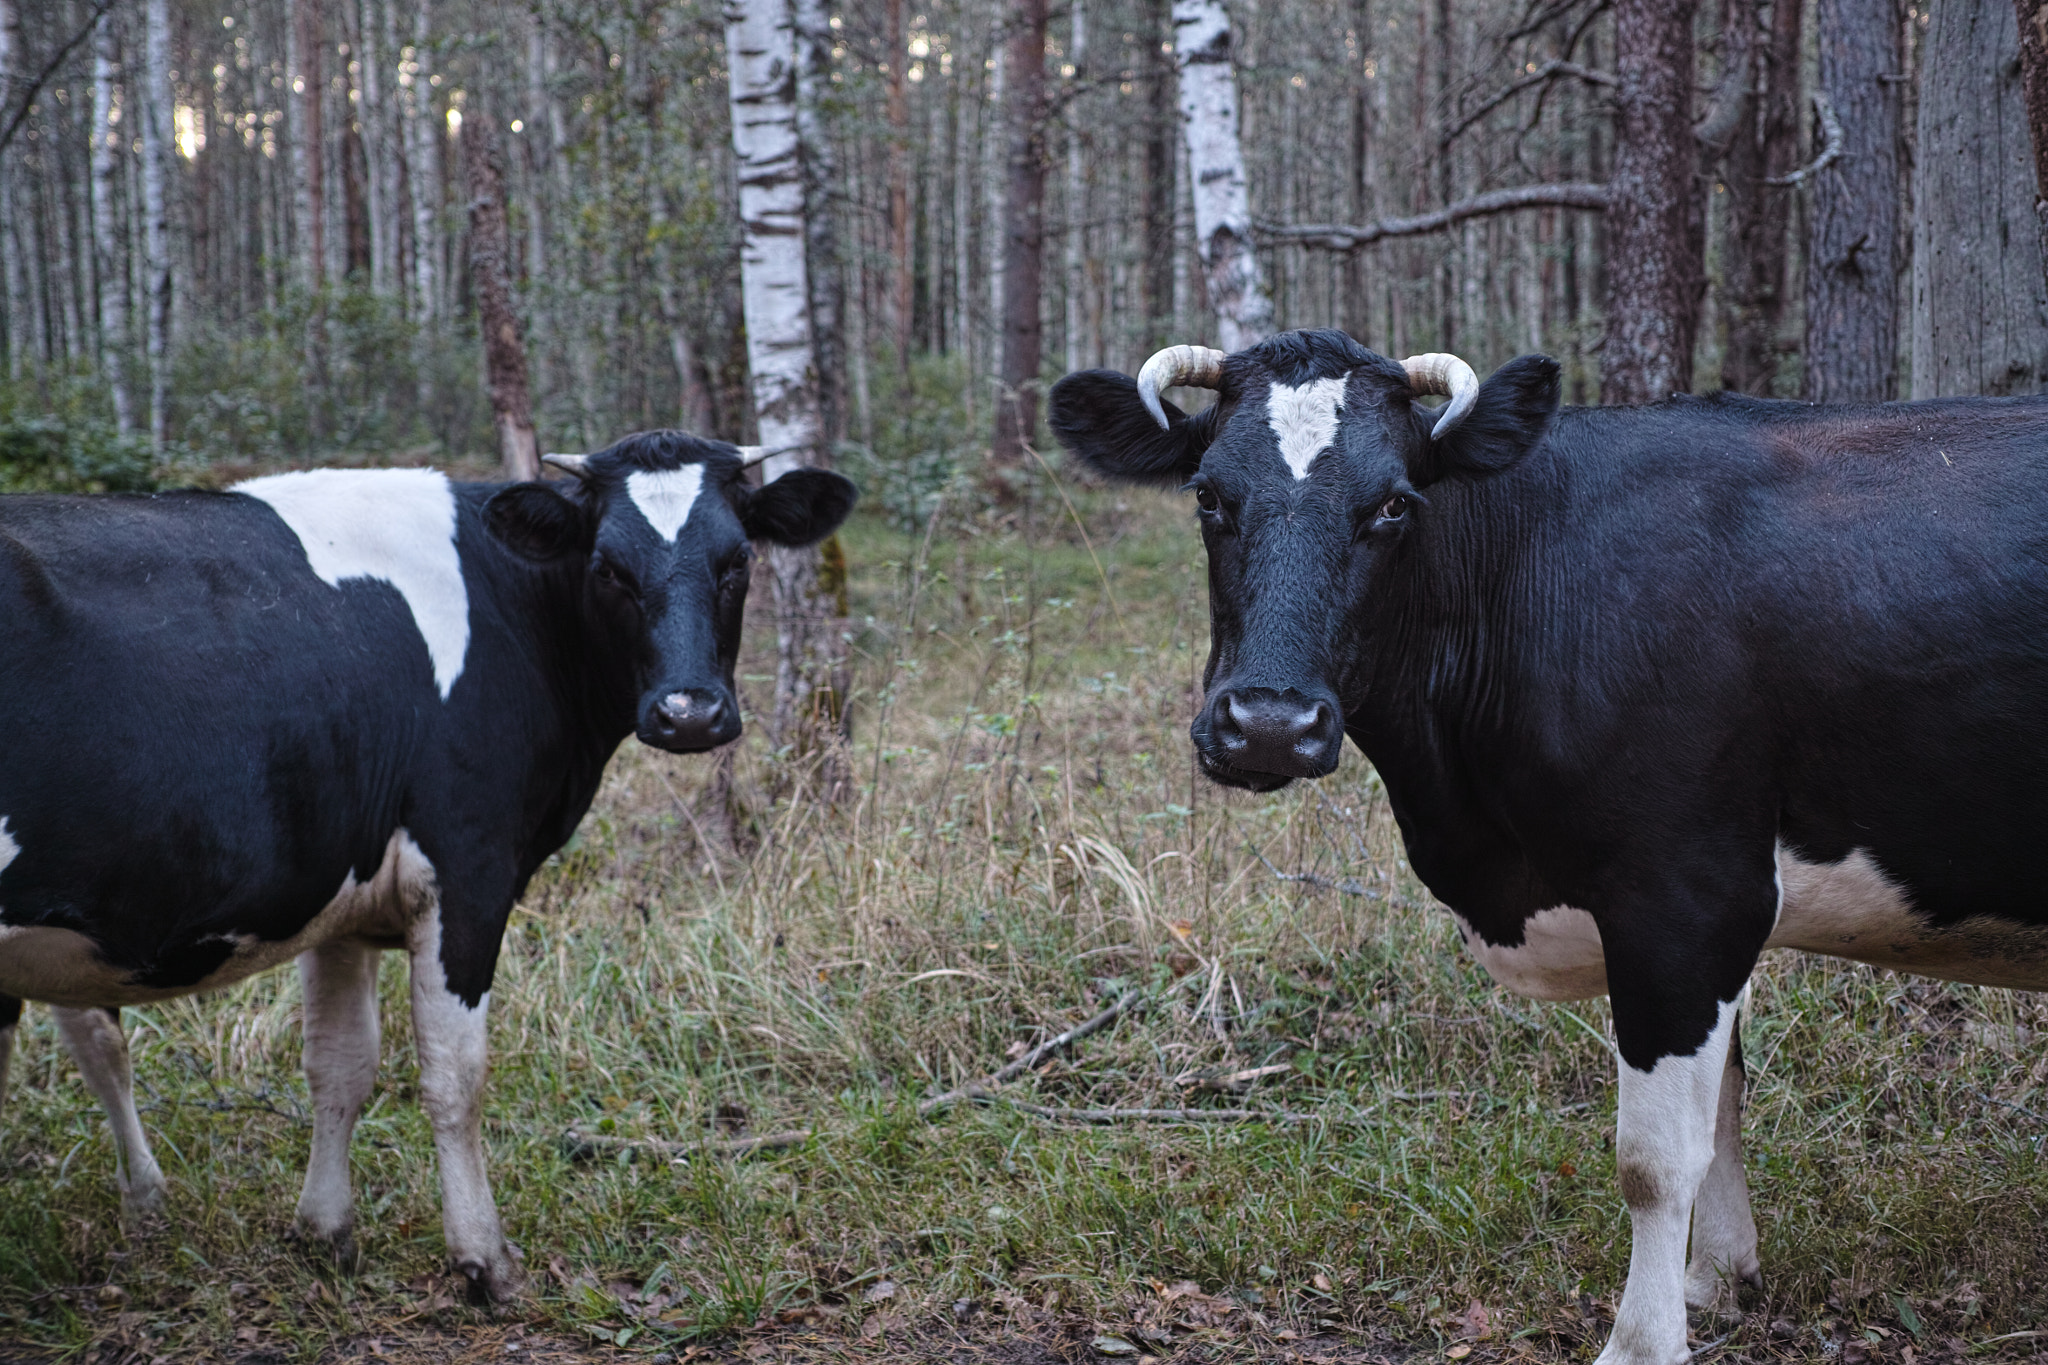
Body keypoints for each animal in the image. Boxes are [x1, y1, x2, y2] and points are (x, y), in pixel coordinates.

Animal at [0, 432, 854, 1300]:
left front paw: (325, 1231)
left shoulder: (344, 890)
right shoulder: (467, 868)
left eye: (737, 559)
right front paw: (484, 1259)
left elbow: (339, 1065)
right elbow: (454, 1076)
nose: (690, 713)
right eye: (608, 566)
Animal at [1048, 328, 2048, 1365]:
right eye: (1208, 495)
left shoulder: (1686, 893)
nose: (1270, 725)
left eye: (1394, 503)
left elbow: (1656, 1156)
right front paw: (1715, 1279)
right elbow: (1724, 1107)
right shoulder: (1707, 912)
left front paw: (1643, 1341)